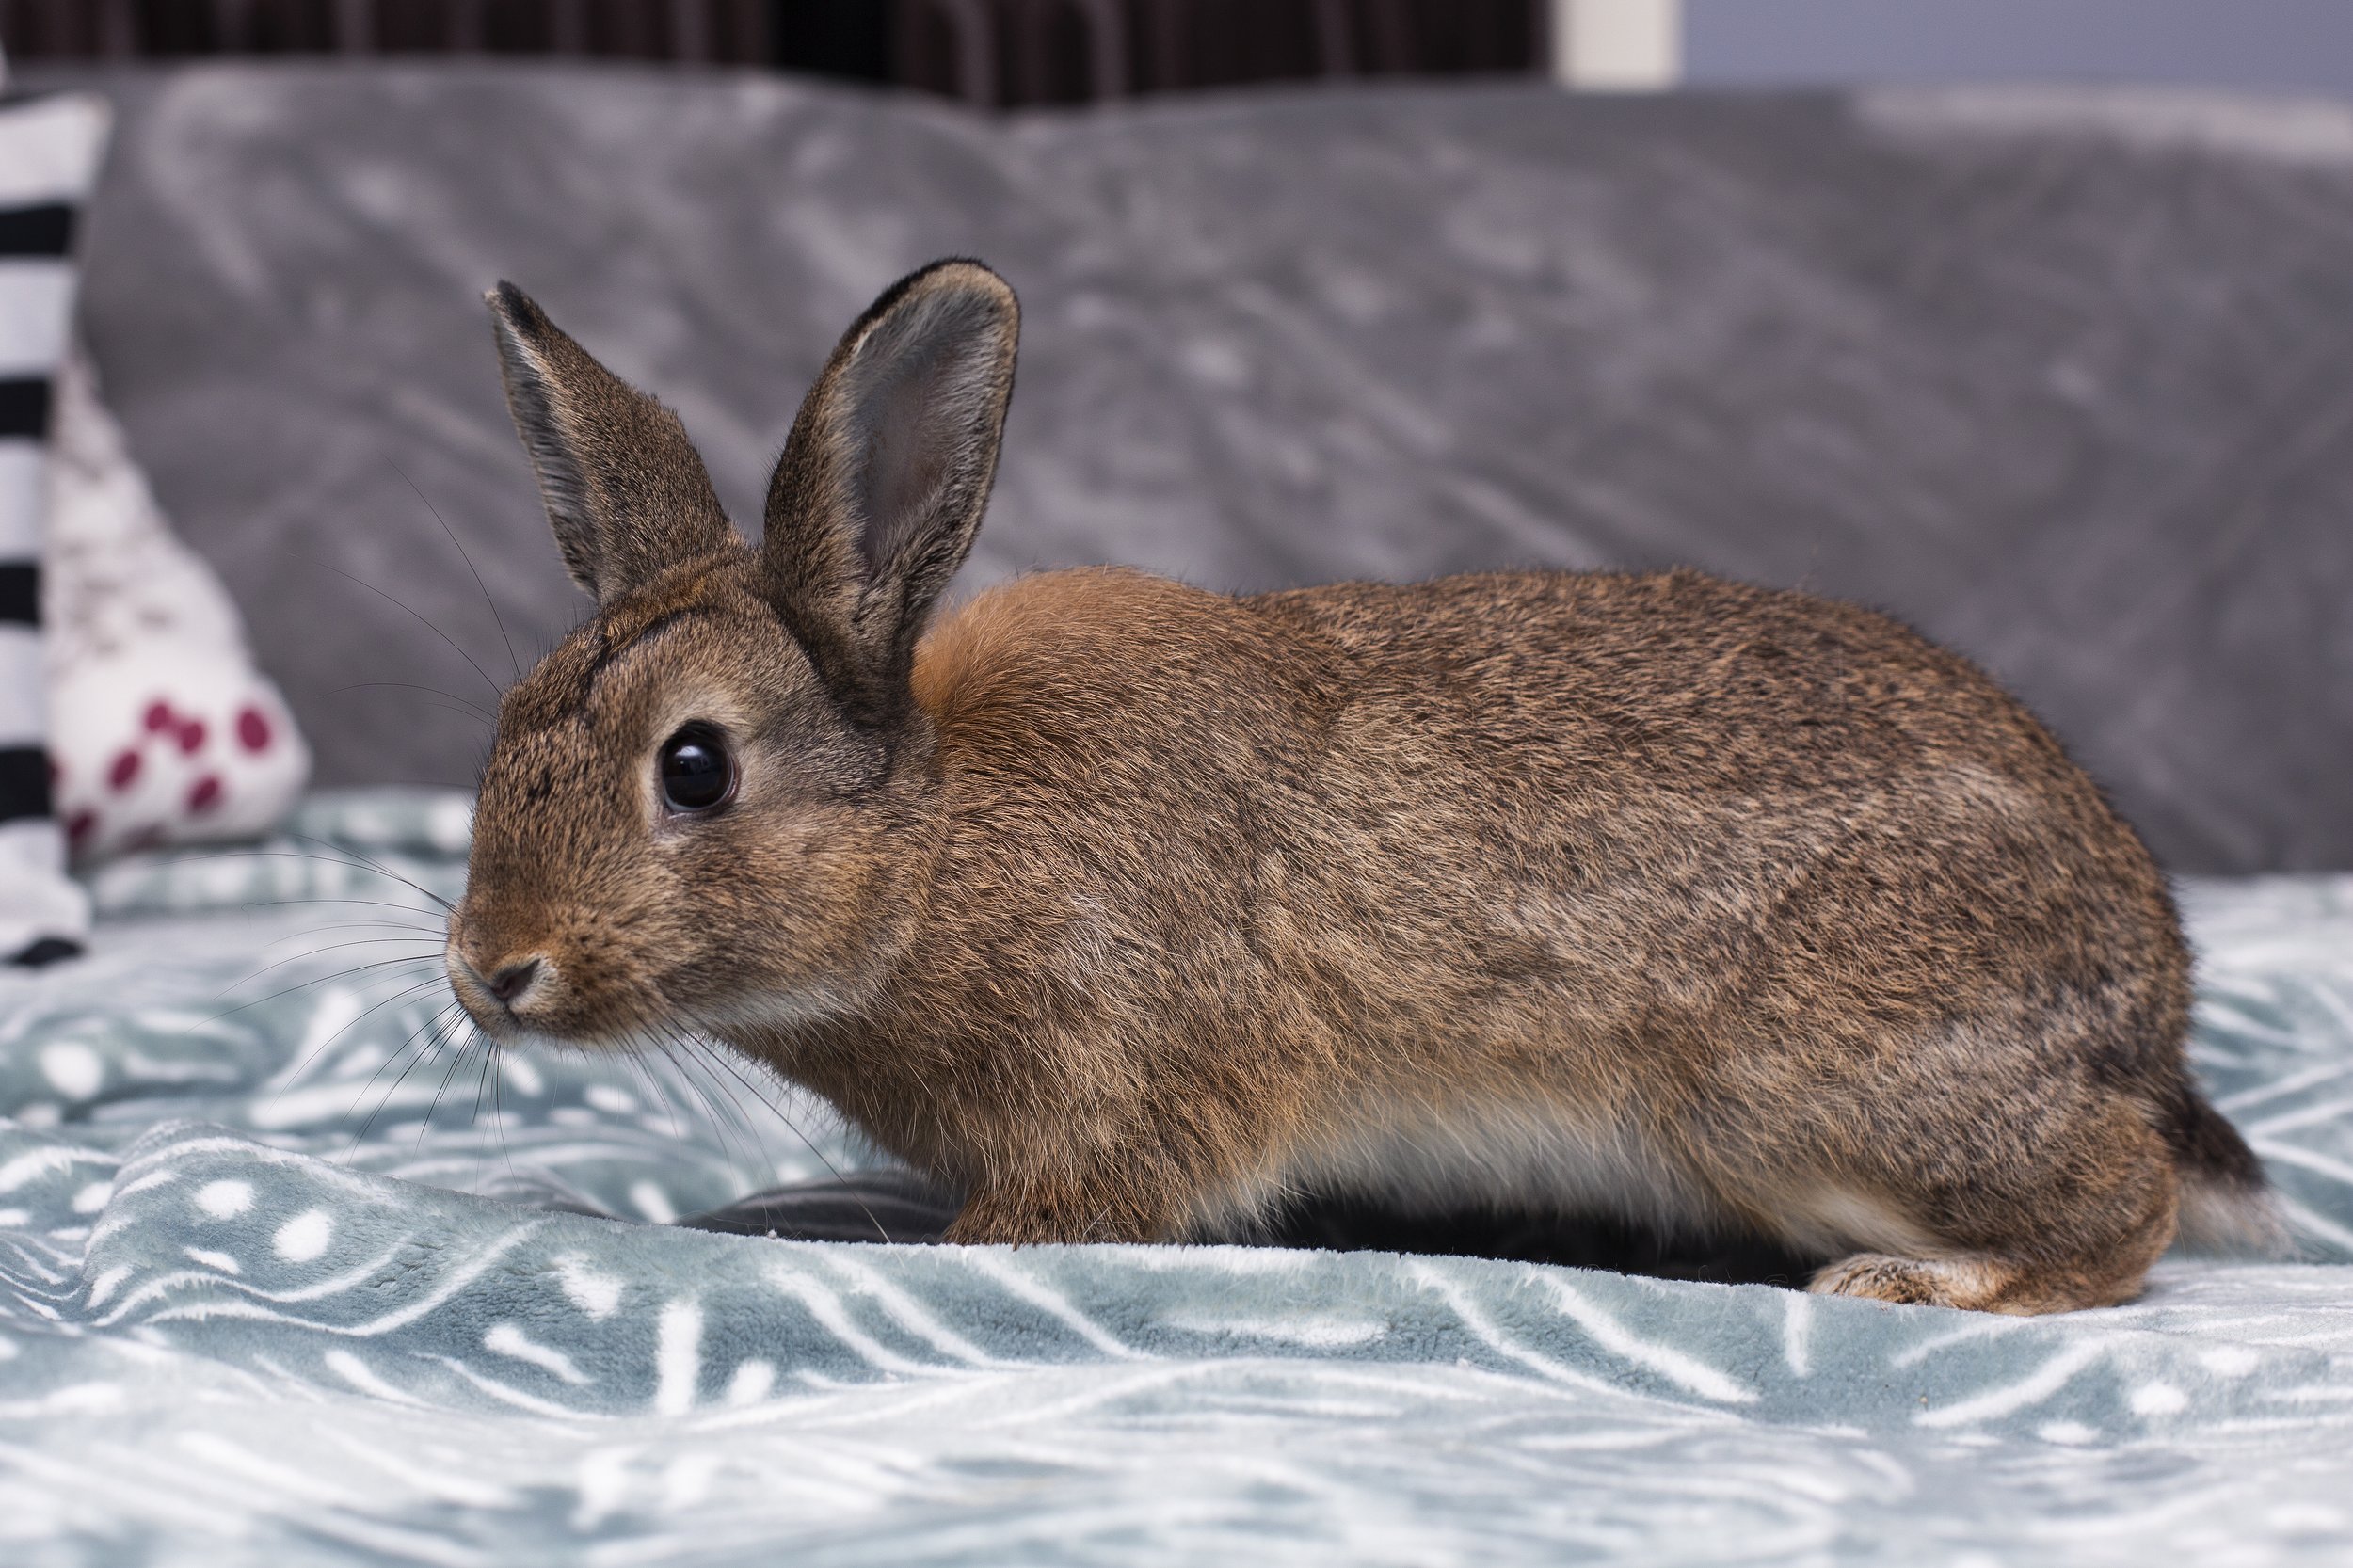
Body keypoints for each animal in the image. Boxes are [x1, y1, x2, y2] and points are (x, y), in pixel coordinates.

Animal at [446, 258, 2276, 1315]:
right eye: (509, 723)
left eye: (694, 767)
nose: (489, 971)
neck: (933, 840)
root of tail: (2146, 1012)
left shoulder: (1123, 1096)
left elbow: (1055, 1218)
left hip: (1808, 1090)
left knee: (2121, 1213)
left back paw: (1916, 1281)